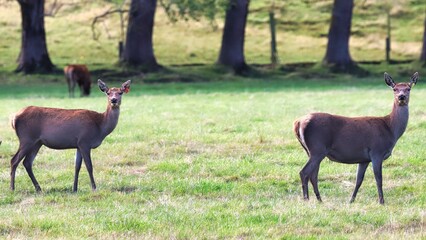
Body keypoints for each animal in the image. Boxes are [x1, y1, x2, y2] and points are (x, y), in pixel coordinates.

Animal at [294, 72, 418, 203]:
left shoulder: (363, 159)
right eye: (395, 89)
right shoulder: (377, 152)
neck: (390, 129)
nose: (401, 97)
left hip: (311, 151)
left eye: (408, 88)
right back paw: (306, 199)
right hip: (318, 148)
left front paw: (351, 200)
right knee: (304, 172)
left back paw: (319, 200)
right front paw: (382, 202)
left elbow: (359, 180)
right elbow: (379, 179)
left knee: (313, 175)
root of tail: (298, 123)